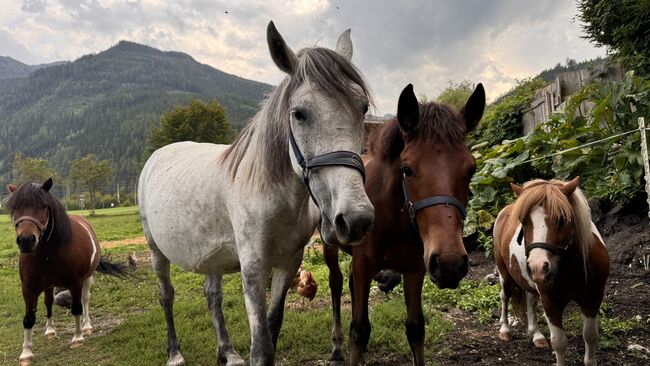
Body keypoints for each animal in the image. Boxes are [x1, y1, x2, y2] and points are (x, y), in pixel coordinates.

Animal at [6, 179, 126, 364]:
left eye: (43, 206)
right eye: (15, 207)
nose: (26, 241)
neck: (48, 254)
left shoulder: (75, 283)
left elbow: (76, 308)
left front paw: (77, 338)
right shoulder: (28, 289)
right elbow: (29, 318)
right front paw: (26, 353)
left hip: (88, 278)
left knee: (85, 300)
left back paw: (86, 326)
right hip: (49, 286)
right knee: (49, 302)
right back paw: (50, 330)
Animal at [138, 20, 370, 366]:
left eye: (363, 107)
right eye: (299, 113)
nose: (355, 219)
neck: (277, 199)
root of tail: (157, 156)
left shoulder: (287, 265)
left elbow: (272, 327)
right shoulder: (253, 268)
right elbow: (261, 347)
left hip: (212, 257)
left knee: (212, 295)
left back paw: (227, 352)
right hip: (156, 251)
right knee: (166, 296)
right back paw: (175, 353)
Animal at [322, 83, 480, 366]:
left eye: (471, 169)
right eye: (407, 169)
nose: (450, 264)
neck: (391, 218)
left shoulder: (415, 269)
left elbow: (415, 328)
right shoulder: (364, 265)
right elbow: (359, 330)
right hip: (329, 246)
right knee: (336, 284)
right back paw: (337, 348)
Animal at [494, 176, 612, 364]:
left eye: (562, 219)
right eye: (524, 221)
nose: (537, 267)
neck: (572, 268)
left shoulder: (592, 298)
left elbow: (590, 336)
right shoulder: (551, 302)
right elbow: (559, 342)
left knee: (530, 301)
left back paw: (536, 335)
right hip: (504, 273)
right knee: (505, 296)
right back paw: (505, 330)